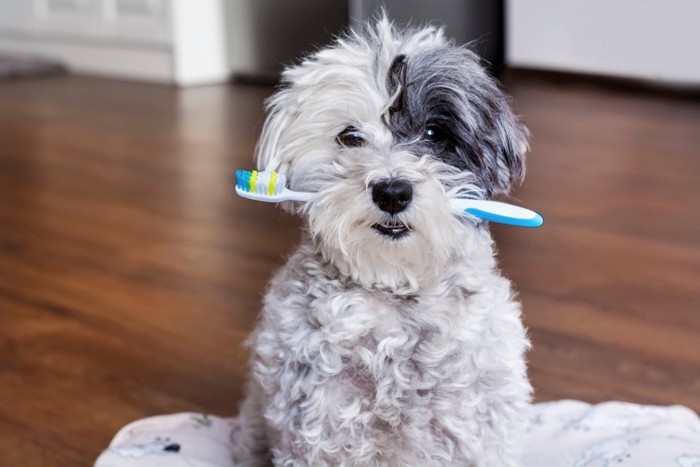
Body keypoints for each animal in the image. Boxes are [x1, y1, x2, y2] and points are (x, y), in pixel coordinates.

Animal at [230, 16, 532, 466]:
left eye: (434, 132)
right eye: (350, 137)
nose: (392, 192)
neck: (394, 288)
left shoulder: (483, 427)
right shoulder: (318, 424)